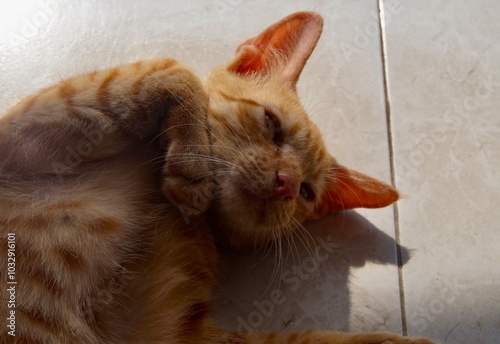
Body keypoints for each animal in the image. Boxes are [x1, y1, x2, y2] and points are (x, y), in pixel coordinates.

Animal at [0, 11, 434, 344]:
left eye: (306, 193)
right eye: (273, 126)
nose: (287, 182)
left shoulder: (172, 333)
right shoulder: (20, 136)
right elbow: (173, 68)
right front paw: (193, 169)